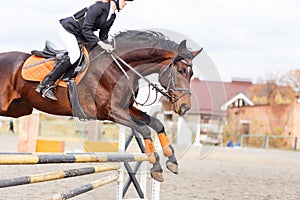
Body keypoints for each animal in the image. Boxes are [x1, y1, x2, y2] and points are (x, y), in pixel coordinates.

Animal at [0, 30, 202, 181]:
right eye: (181, 70)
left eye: (191, 74)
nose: (185, 107)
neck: (119, 67)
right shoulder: (110, 112)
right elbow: (144, 129)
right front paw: (157, 168)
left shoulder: (126, 108)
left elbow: (156, 124)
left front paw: (172, 161)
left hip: (18, 109)